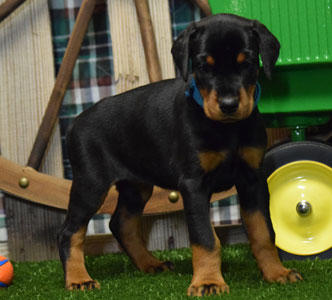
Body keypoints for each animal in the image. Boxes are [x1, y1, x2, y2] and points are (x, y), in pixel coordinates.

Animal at [58, 13, 302, 296]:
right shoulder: (193, 184)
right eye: (203, 65)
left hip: (137, 185)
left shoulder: (252, 178)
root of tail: (75, 123)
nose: (229, 105)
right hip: (91, 183)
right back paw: (79, 278)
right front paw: (208, 281)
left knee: (121, 223)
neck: (227, 129)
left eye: (248, 63)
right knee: (70, 231)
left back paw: (150, 264)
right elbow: (205, 238)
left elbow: (263, 231)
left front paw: (276, 273)